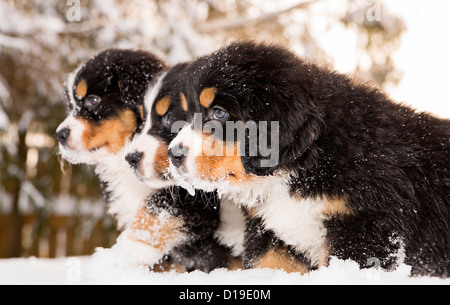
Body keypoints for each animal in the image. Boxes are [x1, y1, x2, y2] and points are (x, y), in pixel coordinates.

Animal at [56, 48, 236, 272]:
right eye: (70, 105)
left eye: (93, 100)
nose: (60, 135)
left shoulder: (197, 197)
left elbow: (157, 207)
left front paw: (131, 248)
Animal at [167, 40, 450, 276]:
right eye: (187, 114)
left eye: (219, 113)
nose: (173, 154)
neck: (306, 163)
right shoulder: (271, 234)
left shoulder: (366, 228)